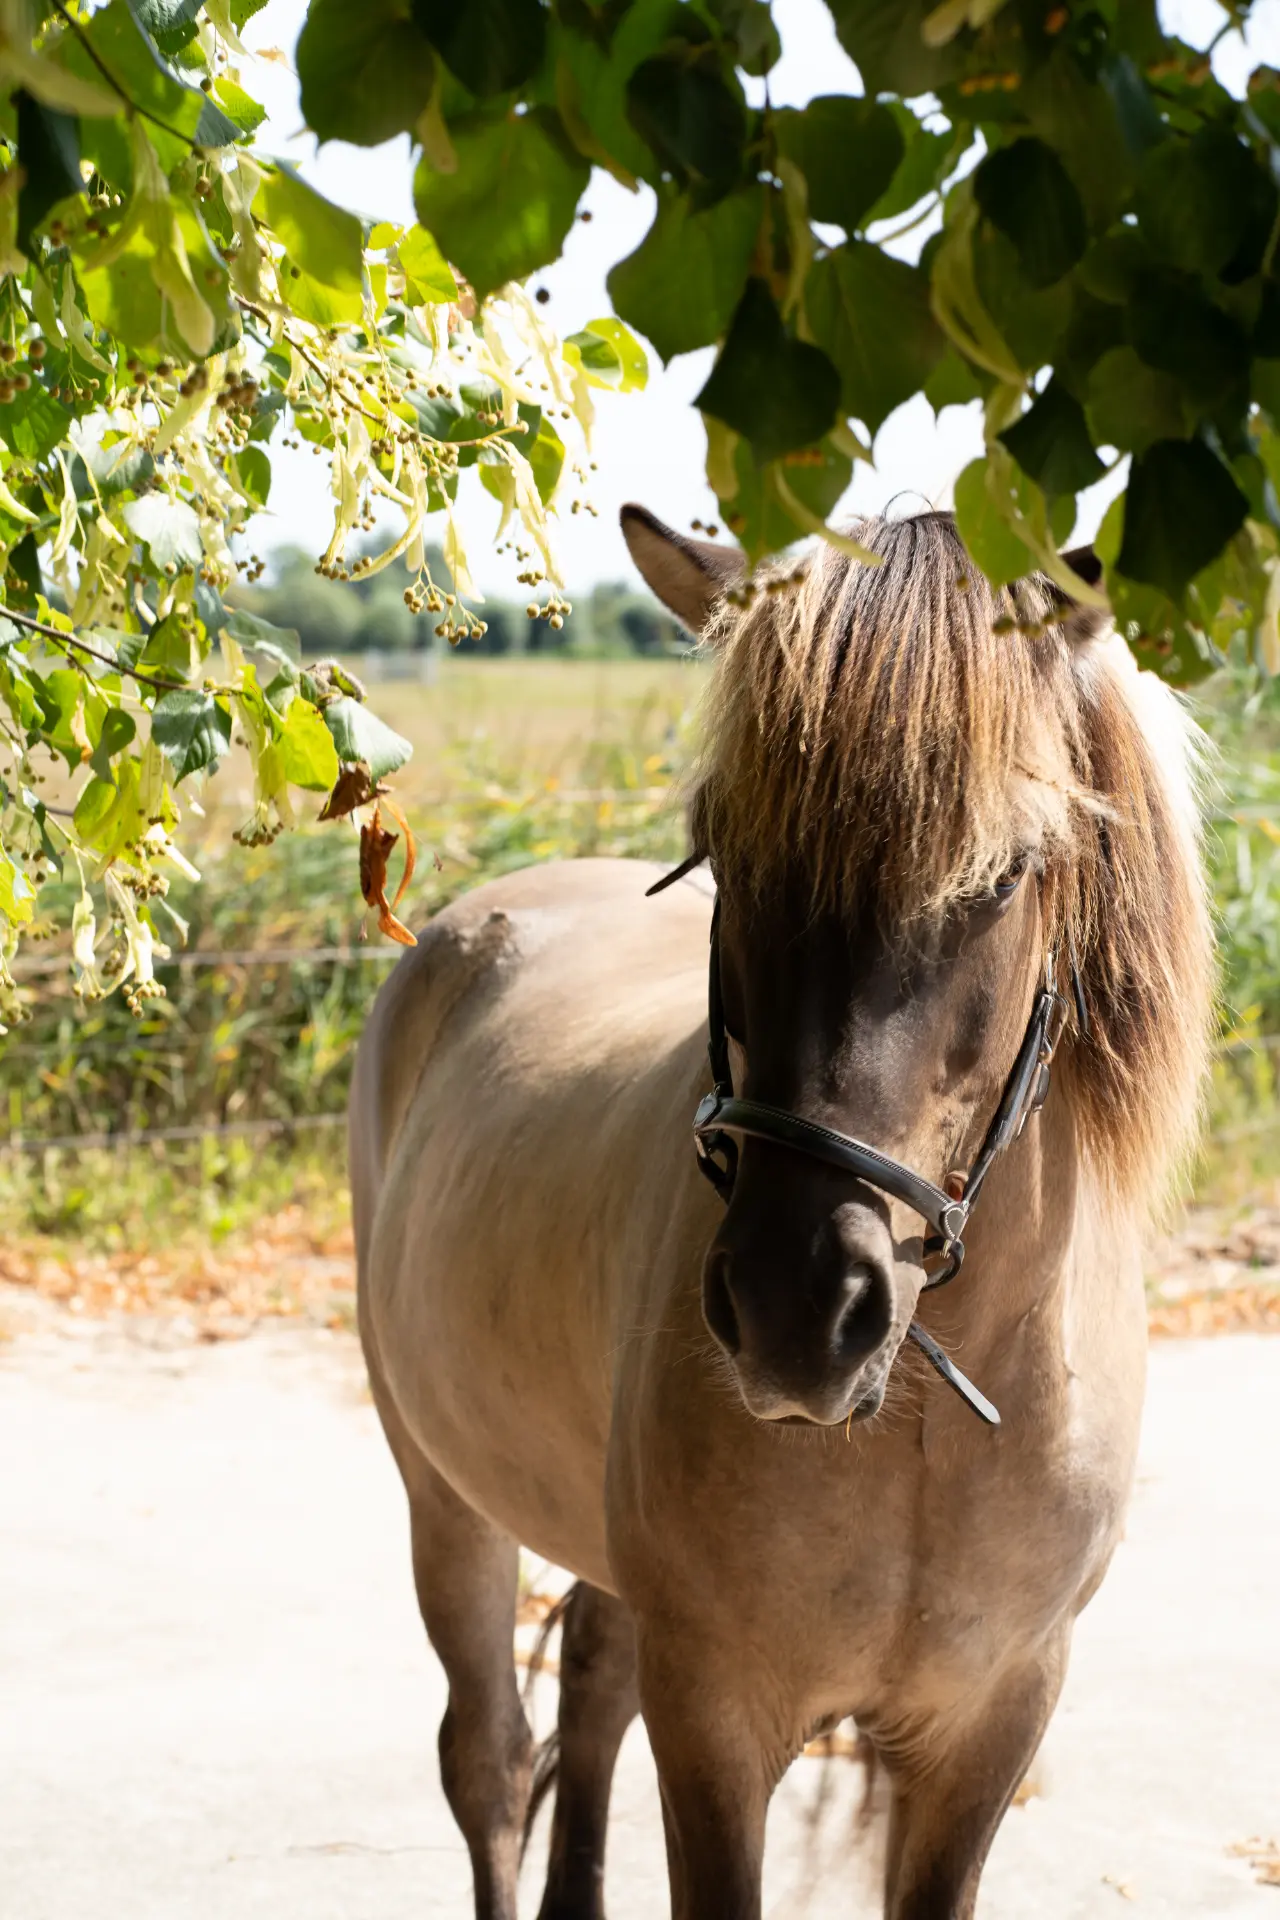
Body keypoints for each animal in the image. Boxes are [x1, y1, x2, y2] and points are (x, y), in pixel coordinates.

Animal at [349, 506, 1212, 1920]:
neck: (922, 1422)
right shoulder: (717, 1715)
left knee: (589, 1689)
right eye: (724, 848)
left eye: (1007, 872)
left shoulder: (988, 1723)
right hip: (442, 1495)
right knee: (490, 1759)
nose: (796, 1309)